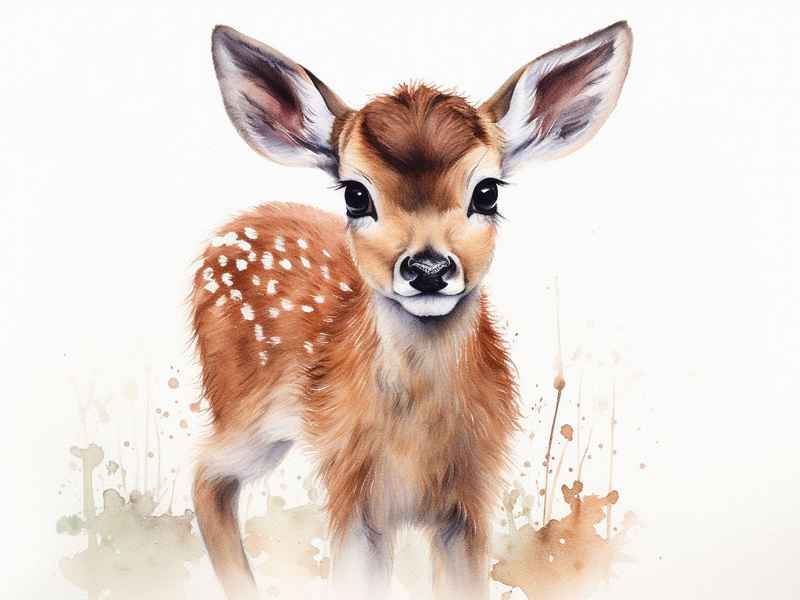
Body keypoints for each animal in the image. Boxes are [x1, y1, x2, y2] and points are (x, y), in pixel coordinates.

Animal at [191, 21, 632, 600]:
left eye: (487, 191)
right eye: (356, 194)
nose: (427, 268)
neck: (415, 446)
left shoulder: (471, 496)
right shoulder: (352, 487)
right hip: (244, 407)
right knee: (206, 473)